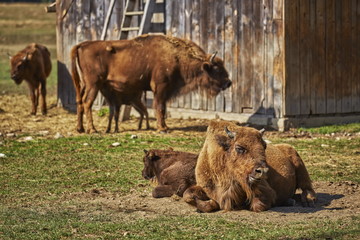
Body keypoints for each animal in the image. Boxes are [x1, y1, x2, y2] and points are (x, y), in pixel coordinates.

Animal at [71, 34, 232, 133]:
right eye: (217, 69)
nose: (228, 83)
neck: (176, 57)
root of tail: (82, 45)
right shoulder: (160, 88)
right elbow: (159, 107)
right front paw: (162, 129)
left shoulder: (165, 90)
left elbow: (163, 108)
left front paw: (165, 126)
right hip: (93, 84)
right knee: (87, 102)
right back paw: (92, 130)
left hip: (85, 84)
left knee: (79, 101)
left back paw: (80, 129)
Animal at [184, 121, 316, 213]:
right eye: (239, 148)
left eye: (264, 146)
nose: (262, 171)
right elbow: (188, 195)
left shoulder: (266, 191)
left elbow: (258, 204)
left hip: (299, 163)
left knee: (307, 187)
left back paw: (307, 201)